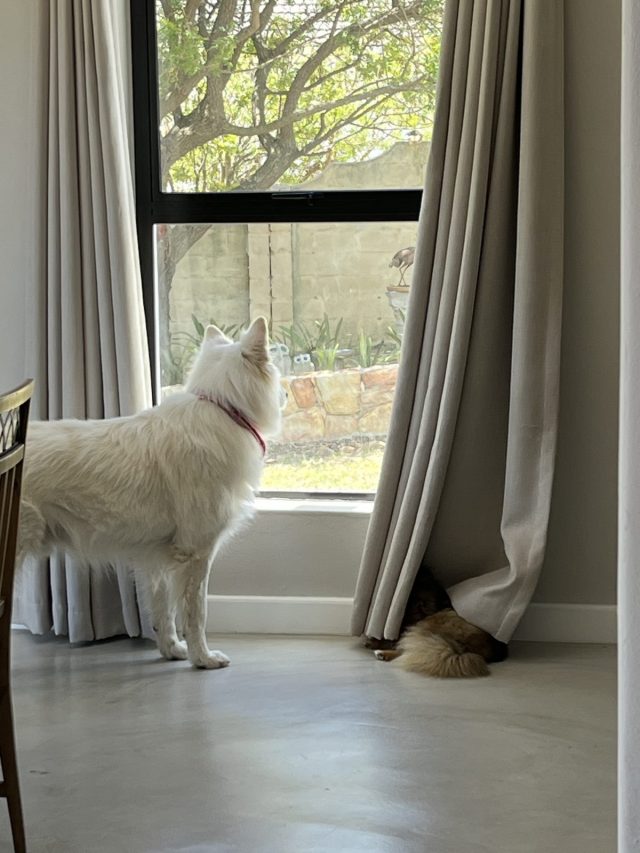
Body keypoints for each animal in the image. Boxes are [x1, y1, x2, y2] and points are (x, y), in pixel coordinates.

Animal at [17, 317, 282, 669]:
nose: (287, 393)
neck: (222, 408)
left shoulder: (156, 557)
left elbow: (163, 609)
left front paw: (172, 649)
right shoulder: (197, 553)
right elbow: (196, 613)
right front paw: (203, 658)